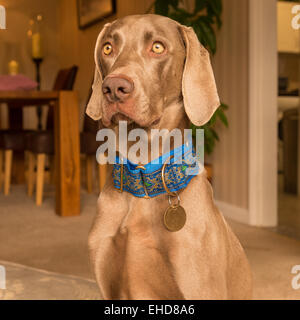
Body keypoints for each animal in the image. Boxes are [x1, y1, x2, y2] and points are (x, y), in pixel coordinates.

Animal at [85, 14, 252, 300]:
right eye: (107, 48)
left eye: (157, 47)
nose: (114, 87)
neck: (142, 180)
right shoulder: (108, 287)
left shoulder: (200, 287)